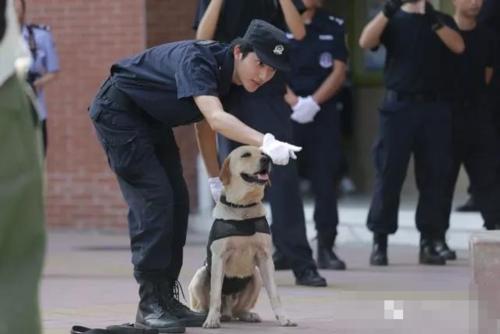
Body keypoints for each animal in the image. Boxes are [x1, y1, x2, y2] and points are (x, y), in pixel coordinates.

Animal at [189, 146, 294, 328]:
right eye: (246, 155)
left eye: (263, 154)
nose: (267, 159)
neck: (243, 207)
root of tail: (227, 310)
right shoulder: (219, 257)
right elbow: (215, 294)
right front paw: (211, 319)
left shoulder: (265, 257)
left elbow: (274, 293)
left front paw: (283, 317)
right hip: (200, 275)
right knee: (205, 303)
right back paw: (204, 315)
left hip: (256, 277)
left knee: (238, 311)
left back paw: (247, 314)